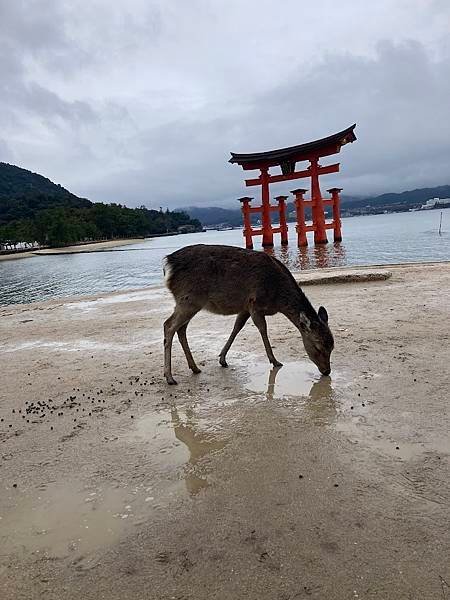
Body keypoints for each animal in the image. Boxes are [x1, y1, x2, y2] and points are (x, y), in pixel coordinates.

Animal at [163, 244, 334, 384]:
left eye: (332, 346)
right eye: (318, 347)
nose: (327, 371)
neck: (277, 298)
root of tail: (168, 264)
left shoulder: (245, 307)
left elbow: (237, 327)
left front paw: (222, 359)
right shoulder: (255, 303)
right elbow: (263, 329)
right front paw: (275, 361)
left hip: (190, 302)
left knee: (181, 329)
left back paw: (195, 368)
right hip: (189, 299)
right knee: (168, 326)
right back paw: (170, 377)